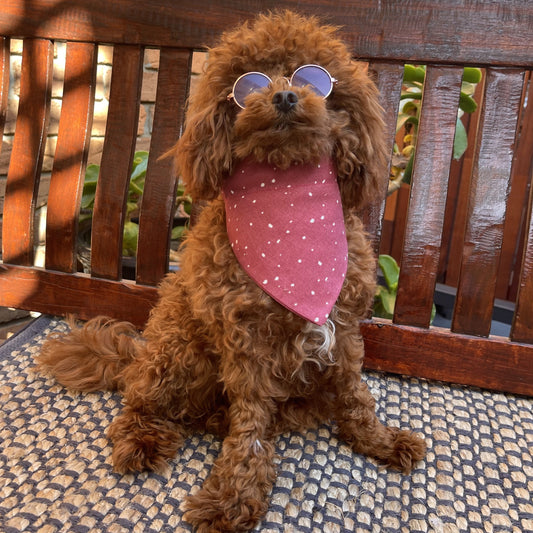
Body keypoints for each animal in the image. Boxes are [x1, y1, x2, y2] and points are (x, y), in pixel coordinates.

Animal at [38, 12, 424, 532]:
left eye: (315, 78)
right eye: (248, 84)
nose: (284, 96)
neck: (290, 208)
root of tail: (137, 355)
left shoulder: (342, 329)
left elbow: (356, 395)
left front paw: (378, 440)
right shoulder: (247, 342)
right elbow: (252, 426)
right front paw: (234, 495)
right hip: (178, 350)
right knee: (138, 403)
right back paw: (142, 440)